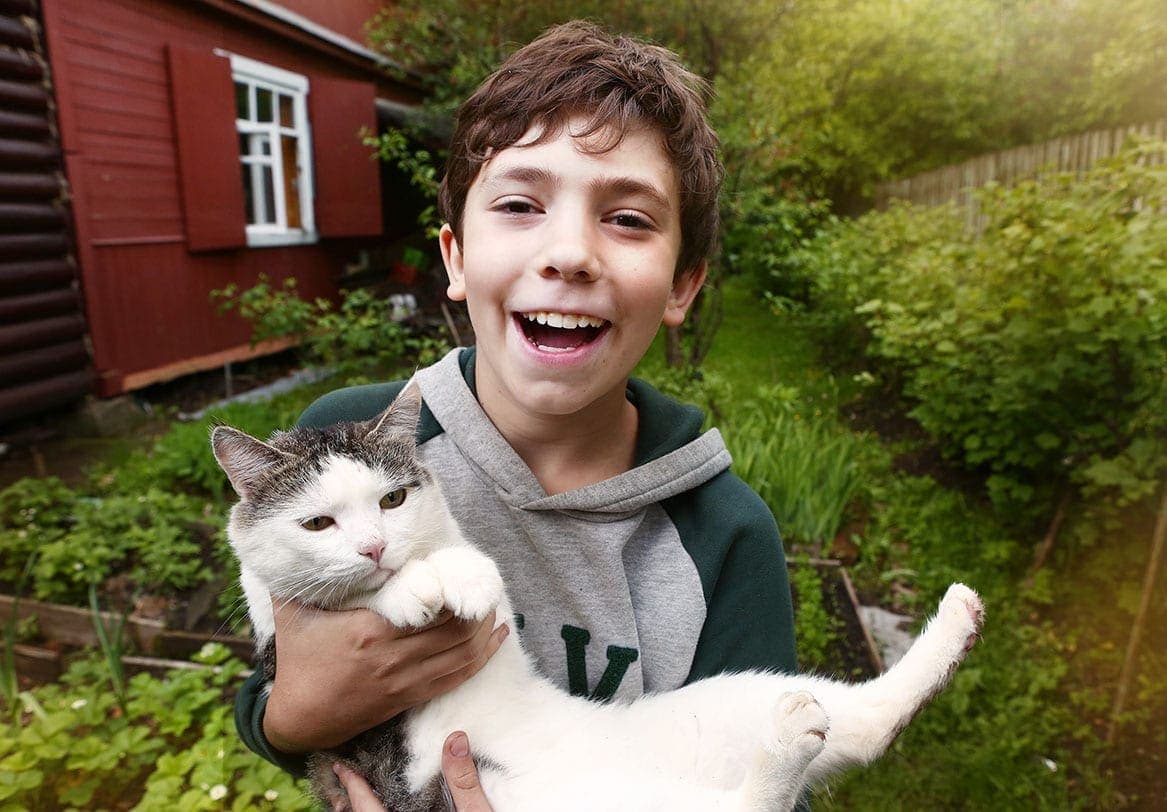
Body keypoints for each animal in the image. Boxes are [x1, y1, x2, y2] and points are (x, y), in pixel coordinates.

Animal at [212, 382, 984, 812]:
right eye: (318, 523)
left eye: (392, 500)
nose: (374, 546)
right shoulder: (283, 648)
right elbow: (326, 600)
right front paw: (404, 588)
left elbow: (479, 568)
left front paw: (456, 575)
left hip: (714, 709)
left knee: (866, 724)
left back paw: (956, 619)